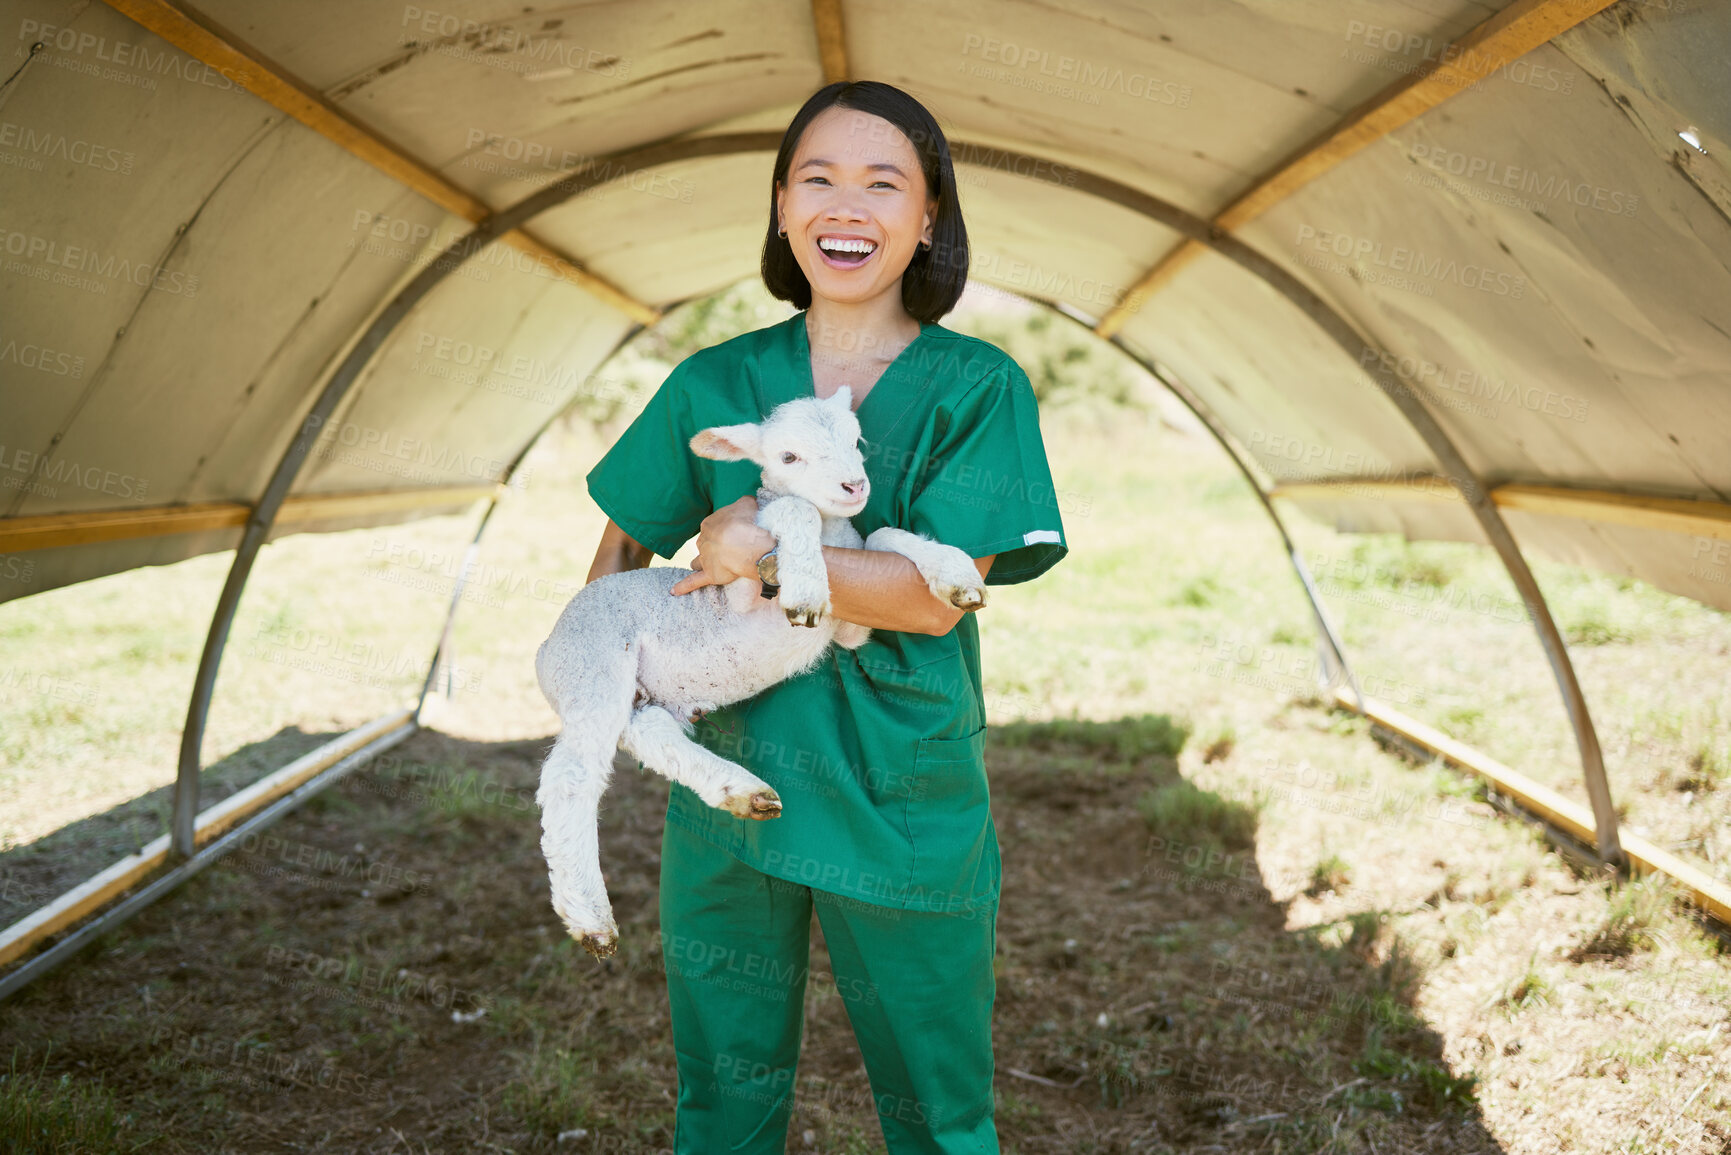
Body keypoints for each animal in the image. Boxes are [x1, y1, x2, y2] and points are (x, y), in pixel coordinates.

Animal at [533, 386, 990, 955]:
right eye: (788, 457)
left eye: (857, 440)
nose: (854, 486)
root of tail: (546, 647)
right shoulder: (739, 592)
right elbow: (796, 507)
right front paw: (806, 586)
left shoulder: (852, 629)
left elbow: (885, 534)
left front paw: (957, 576)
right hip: (593, 665)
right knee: (571, 776)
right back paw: (590, 917)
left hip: (644, 692)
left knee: (648, 730)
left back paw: (741, 791)